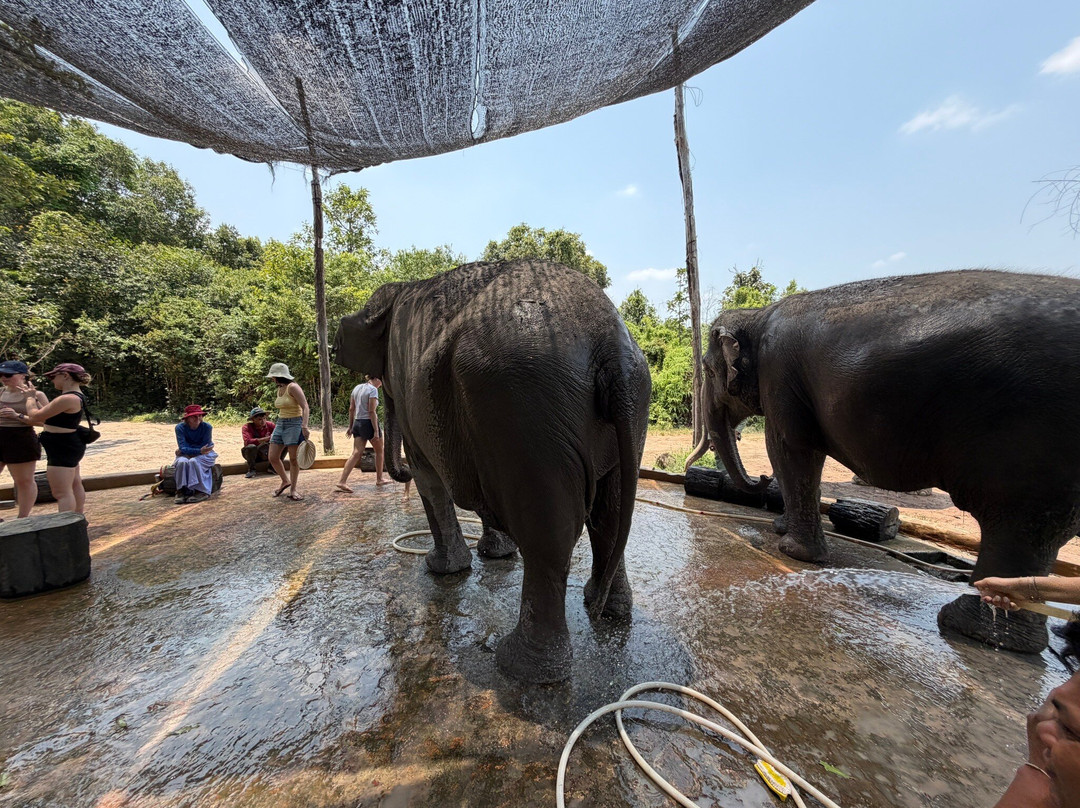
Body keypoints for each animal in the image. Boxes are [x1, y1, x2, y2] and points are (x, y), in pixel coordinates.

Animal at [333, 259, 651, 683]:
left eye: (382, 386)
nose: (390, 471)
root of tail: (610, 343)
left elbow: (428, 476)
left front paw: (440, 570)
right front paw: (496, 555)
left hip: (524, 403)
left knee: (549, 534)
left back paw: (520, 668)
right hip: (627, 405)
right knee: (609, 514)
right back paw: (605, 608)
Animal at [702, 269, 1080, 654]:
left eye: (706, 369)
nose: (760, 480)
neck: (758, 314)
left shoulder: (779, 375)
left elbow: (788, 447)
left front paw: (791, 550)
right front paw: (782, 529)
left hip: (1027, 438)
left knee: (1016, 521)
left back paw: (969, 626)